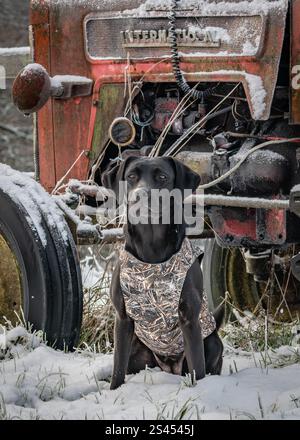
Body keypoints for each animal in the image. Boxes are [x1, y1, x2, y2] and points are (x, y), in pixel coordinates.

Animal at [102, 155, 223, 388]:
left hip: (212, 342)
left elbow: (198, 366)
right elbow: (117, 367)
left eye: (162, 177)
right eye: (131, 176)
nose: (140, 194)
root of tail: (169, 368)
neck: (152, 247)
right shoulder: (122, 318)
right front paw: (114, 390)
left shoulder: (189, 317)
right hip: (137, 347)